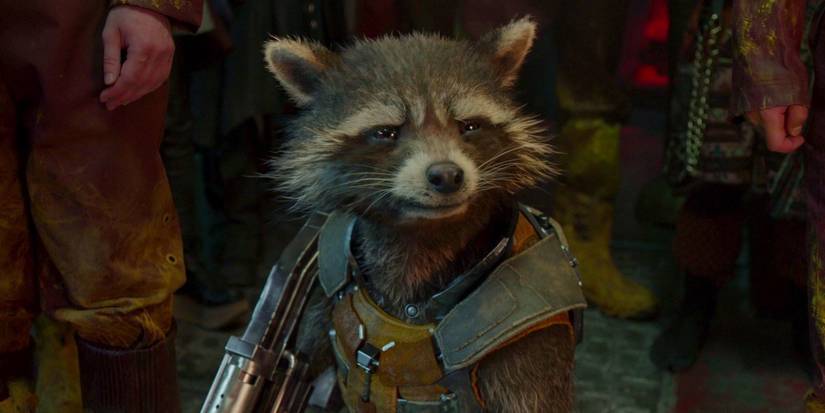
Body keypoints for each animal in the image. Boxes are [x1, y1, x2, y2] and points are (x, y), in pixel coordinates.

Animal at [265, 17, 577, 413]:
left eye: (468, 126)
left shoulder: (529, 336)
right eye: (386, 132)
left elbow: (532, 398)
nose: (447, 175)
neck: (422, 233)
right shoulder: (328, 291)